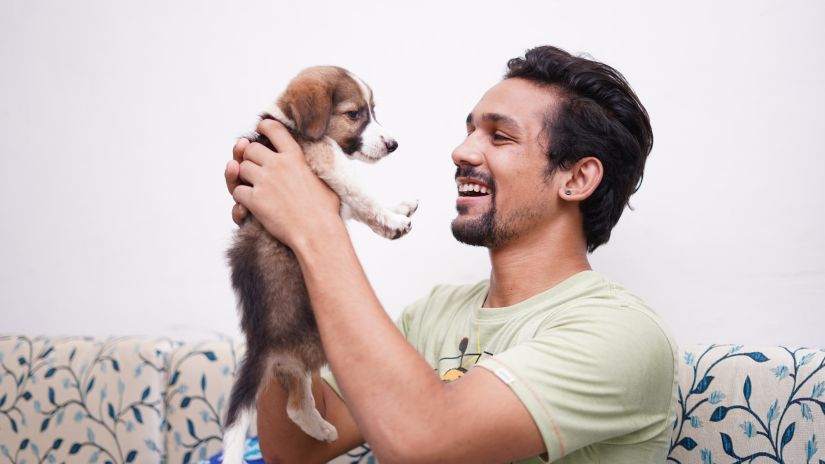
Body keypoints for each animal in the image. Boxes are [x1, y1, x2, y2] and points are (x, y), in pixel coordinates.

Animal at [222, 66, 416, 464]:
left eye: (373, 110)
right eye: (354, 114)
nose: (393, 144)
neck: (290, 123)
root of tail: (263, 346)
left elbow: (358, 207)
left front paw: (399, 209)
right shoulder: (328, 160)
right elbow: (363, 195)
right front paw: (394, 220)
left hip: (295, 368)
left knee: (296, 406)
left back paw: (323, 430)